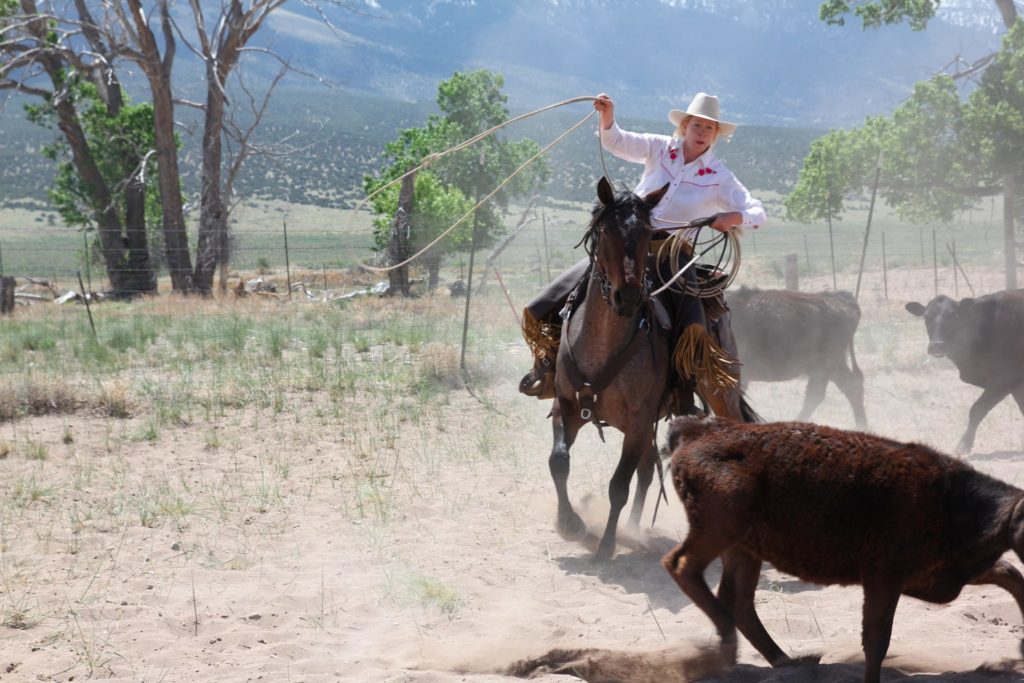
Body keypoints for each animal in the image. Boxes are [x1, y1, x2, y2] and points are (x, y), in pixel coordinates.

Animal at [548, 176, 757, 561]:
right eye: (606, 232)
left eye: (647, 233)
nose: (628, 297)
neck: (602, 345)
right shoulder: (566, 406)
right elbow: (559, 461)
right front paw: (570, 525)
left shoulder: (638, 420)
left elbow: (619, 484)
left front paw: (606, 547)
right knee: (646, 471)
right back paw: (632, 530)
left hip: (721, 393)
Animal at [659, 417, 1024, 683]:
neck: (950, 500)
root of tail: (699, 431)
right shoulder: (884, 580)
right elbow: (876, 641)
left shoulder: (939, 575)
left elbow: (1009, 573)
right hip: (721, 527)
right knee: (682, 566)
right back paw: (731, 644)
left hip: (744, 549)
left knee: (738, 601)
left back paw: (781, 660)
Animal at [909, 288, 1024, 454]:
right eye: (926, 317)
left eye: (954, 316)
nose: (937, 345)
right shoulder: (1015, 384)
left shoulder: (1004, 379)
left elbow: (977, 409)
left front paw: (963, 445)